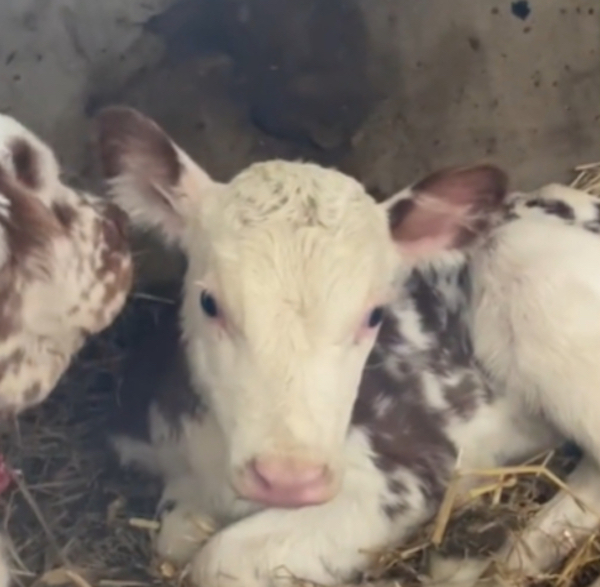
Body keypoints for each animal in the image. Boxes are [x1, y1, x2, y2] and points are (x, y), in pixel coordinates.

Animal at [97, 105, 600, 587]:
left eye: (374, 314)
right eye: (209, 302)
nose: (289, 480)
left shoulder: (396, 479)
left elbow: (216, 559)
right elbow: (173, 538)